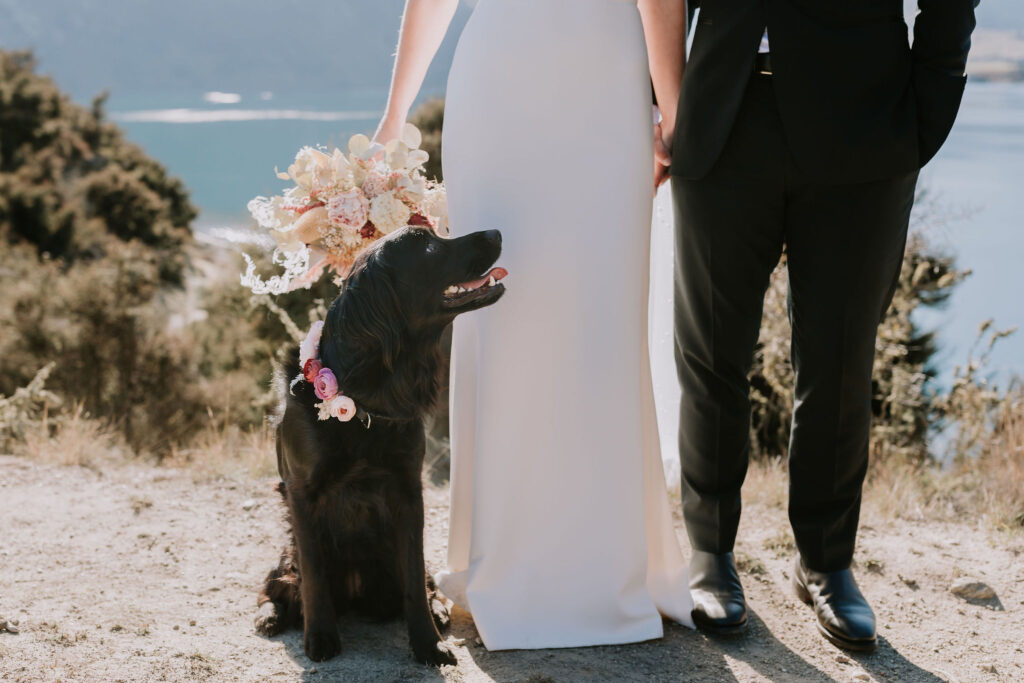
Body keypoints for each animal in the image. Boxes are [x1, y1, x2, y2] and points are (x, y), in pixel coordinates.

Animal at [256, 227, 503, 663]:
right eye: (427, 245)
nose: (497, 231)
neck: (365, 399)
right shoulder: (301, 492)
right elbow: (313, 575)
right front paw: (320, 637)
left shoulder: (409, 488)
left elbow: (415, 576)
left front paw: (427, 643)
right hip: (286, 551)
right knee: (275, 585)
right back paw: (270, 615)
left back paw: (440, 610)